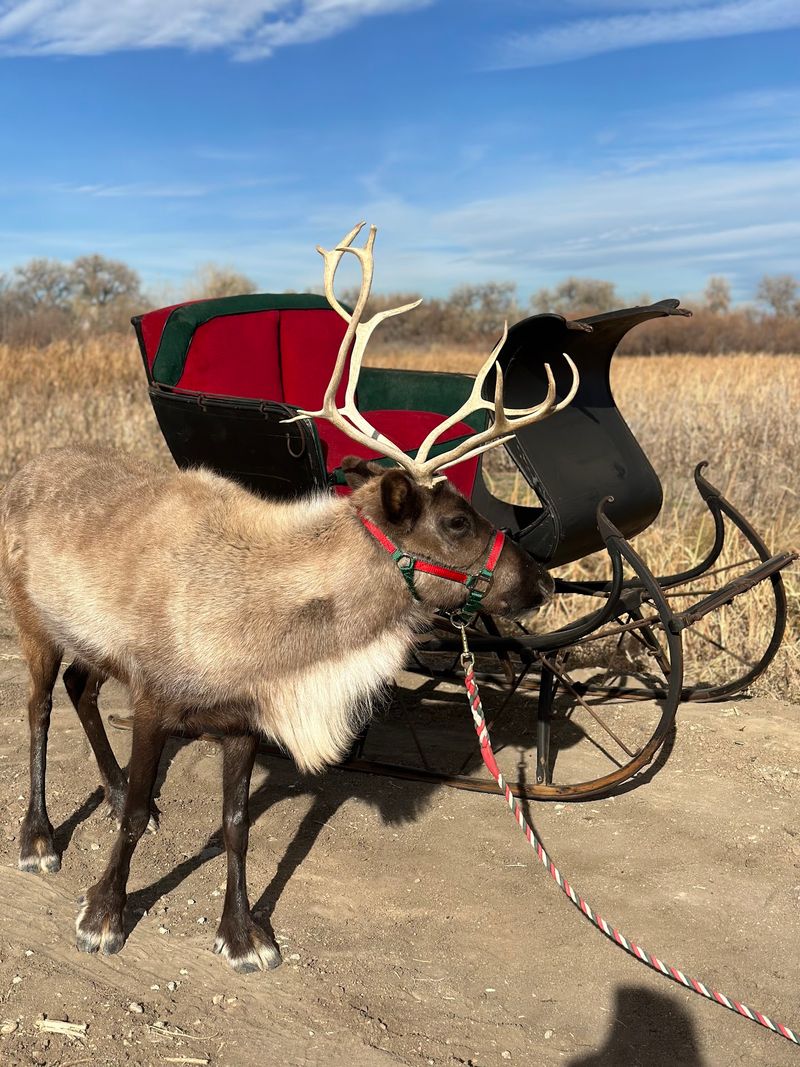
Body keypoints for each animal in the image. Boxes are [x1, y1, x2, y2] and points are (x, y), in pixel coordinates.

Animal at [0, 223, 579, 973]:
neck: (278, 629)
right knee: (40, 708)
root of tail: (24, 468)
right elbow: (128, 822)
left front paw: (243, 933)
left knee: (80, 688)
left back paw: (119, 788)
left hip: (91, 640)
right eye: (455, 522)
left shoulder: (243, 720)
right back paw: (39, 837)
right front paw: (103, 913)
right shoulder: (156, 697)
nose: (542, 581)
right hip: (32, 619)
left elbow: (236, 825)